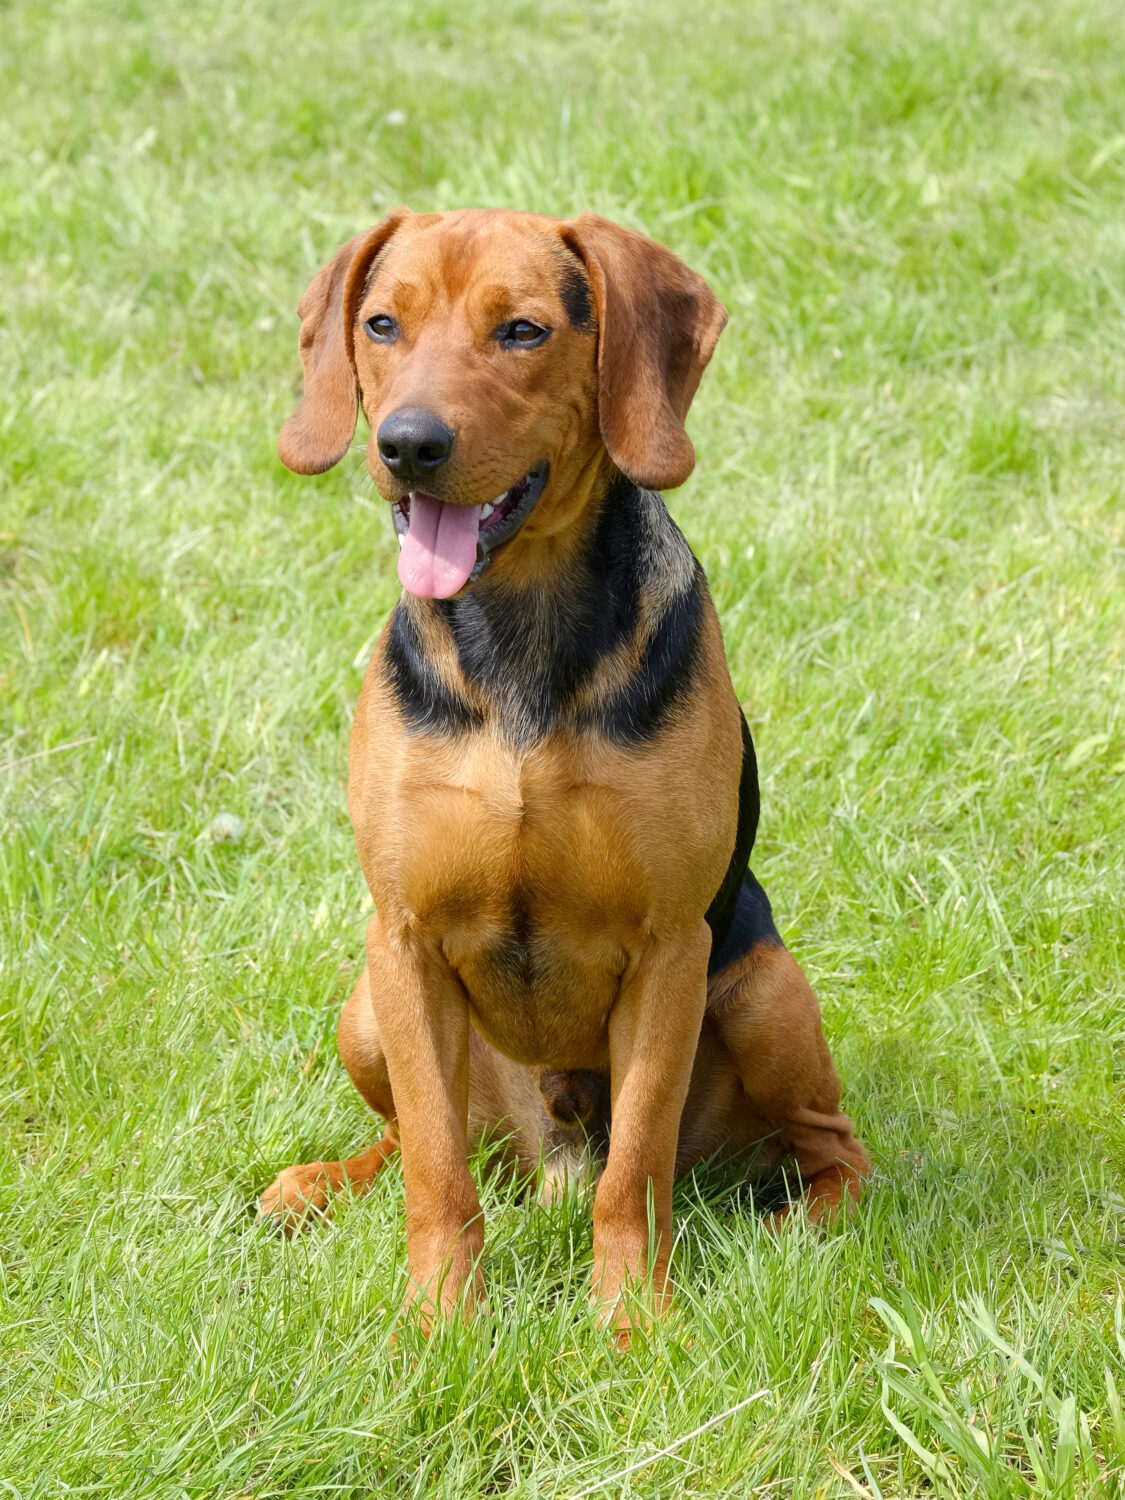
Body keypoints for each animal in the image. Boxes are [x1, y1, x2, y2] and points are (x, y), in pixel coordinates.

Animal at [258, 202, 870, 1338]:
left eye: (523, 332)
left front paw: (632, 1320)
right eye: (380, 324)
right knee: (414, 1142)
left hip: (762, 992)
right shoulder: (403, 940)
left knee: (827, 1149)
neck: (520, 627)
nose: (406, 444)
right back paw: (321, 1183)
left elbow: (636, 1172)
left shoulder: (670, 951)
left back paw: (791, 1229)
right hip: (366, 1007)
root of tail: (546, 1158)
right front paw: (441, 1322)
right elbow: (436, 1173)